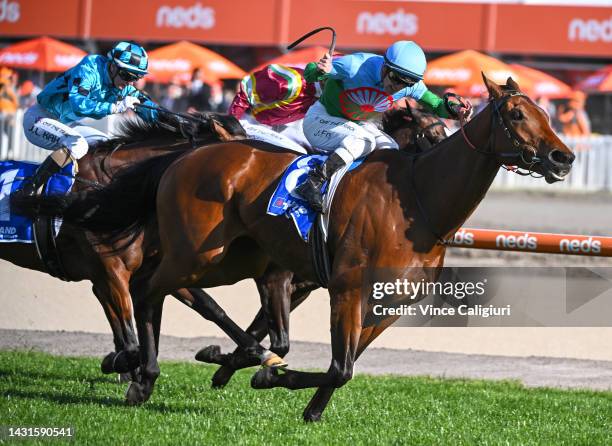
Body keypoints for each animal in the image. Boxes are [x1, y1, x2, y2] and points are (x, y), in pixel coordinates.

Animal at [15, 75, 572, 420]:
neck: (418, 199)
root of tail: (185, 155)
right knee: (147, 289)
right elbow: (334, 363)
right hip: (196, 253)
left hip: (227, 258)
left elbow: (340, 365)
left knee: (161, 292)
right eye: (517, 114)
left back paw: (146, 368)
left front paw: (300, 400)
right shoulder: (341, 287)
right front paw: (263, 376)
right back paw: (138, 372)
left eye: (545, 112)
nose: (562, 157)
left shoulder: (384, 302)